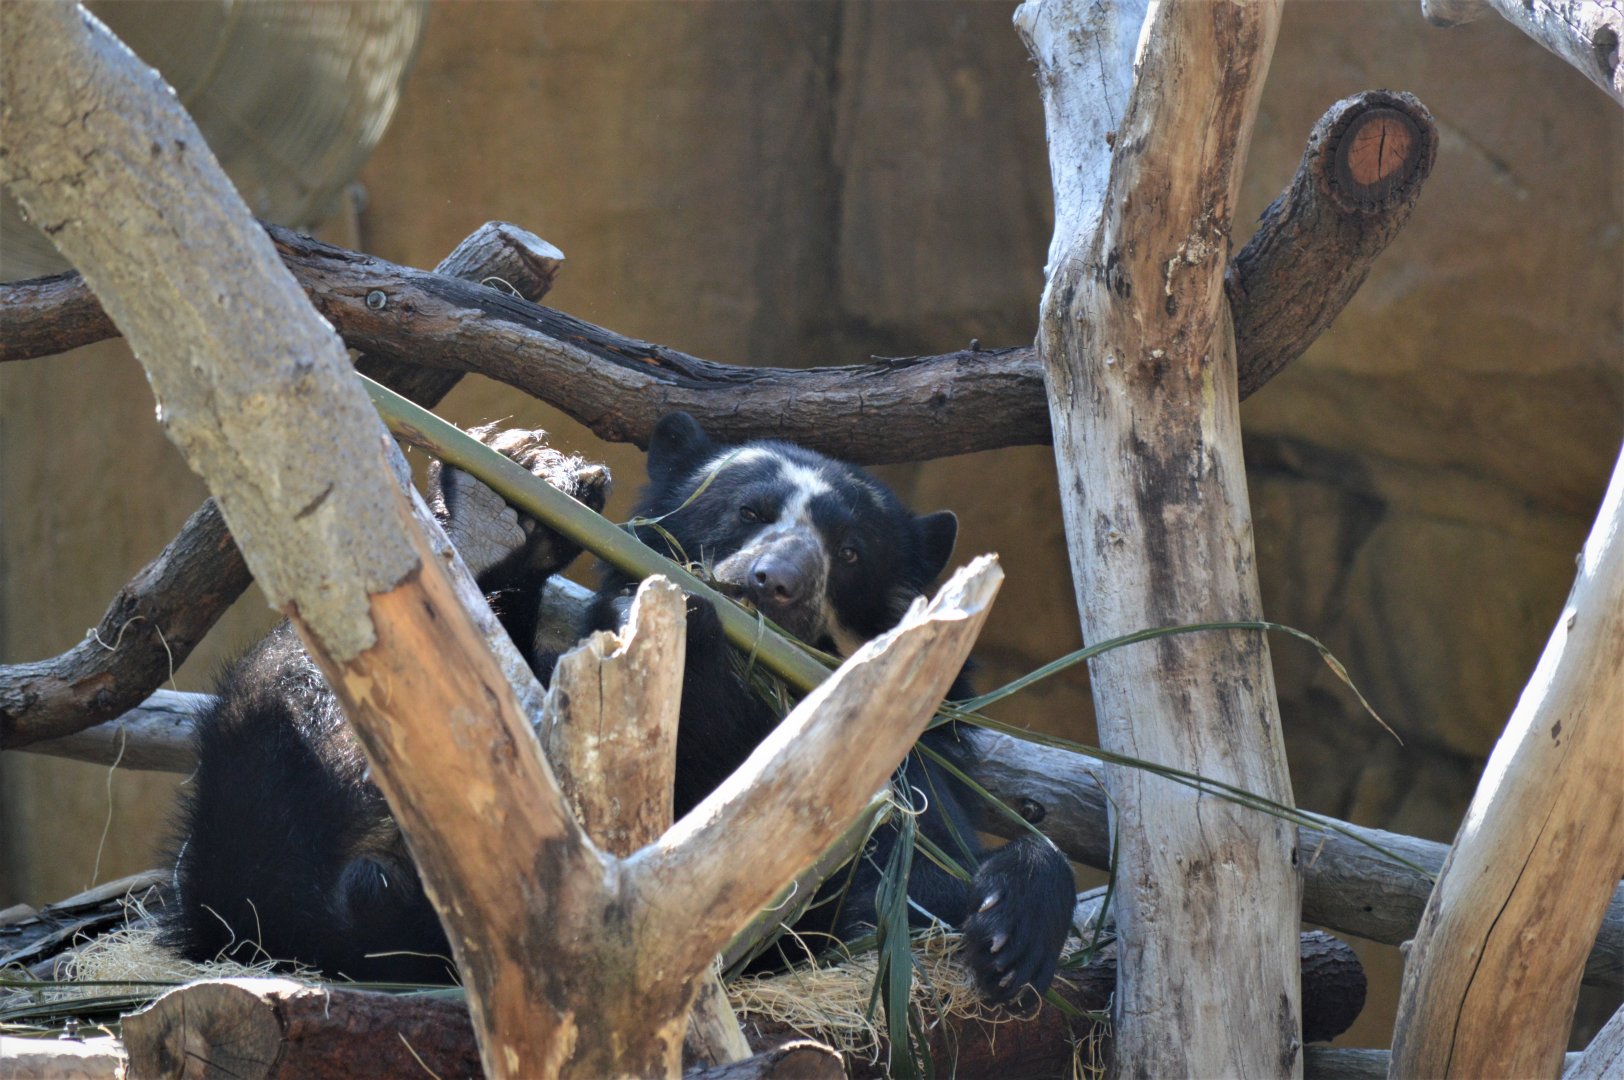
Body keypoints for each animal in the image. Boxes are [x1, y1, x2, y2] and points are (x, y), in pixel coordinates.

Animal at [162, 414, 1075, 1003]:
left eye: (849, 552)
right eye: (745, 512)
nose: (773, 582)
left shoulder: (898, 745)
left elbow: (908, 860)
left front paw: (1010, 931)